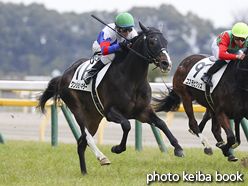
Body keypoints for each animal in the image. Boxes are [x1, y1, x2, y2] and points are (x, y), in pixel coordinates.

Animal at [37, 22, 185, 174]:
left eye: (165, 41)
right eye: (152, 41)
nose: (166, 63)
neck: (132, 78)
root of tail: (62, 76)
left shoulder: (143, 112)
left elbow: (161, 123)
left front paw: (178, 148)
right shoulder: (110, 112)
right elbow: (127, 125)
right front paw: (117, 148)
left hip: (94, 116)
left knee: (81, 142)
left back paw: (84, 172)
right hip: (76, 107)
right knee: (87, 136)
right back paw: (102, 157)